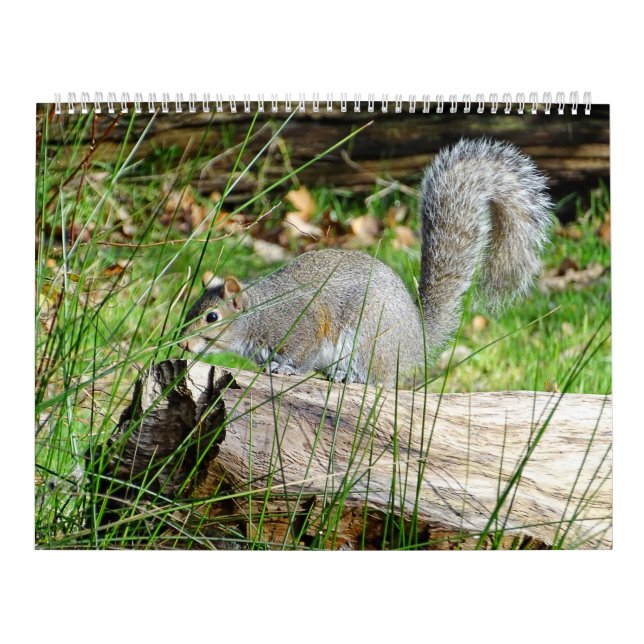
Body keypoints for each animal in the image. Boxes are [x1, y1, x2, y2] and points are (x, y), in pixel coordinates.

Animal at [180, 138, 552, 387]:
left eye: (212, 317)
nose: (182, 343)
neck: (257, 314)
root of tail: (415, 341)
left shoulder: (303, 323)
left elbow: (303, 352)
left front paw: (286, 369)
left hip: (368, 336)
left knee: (376, 378)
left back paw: (348, 376)